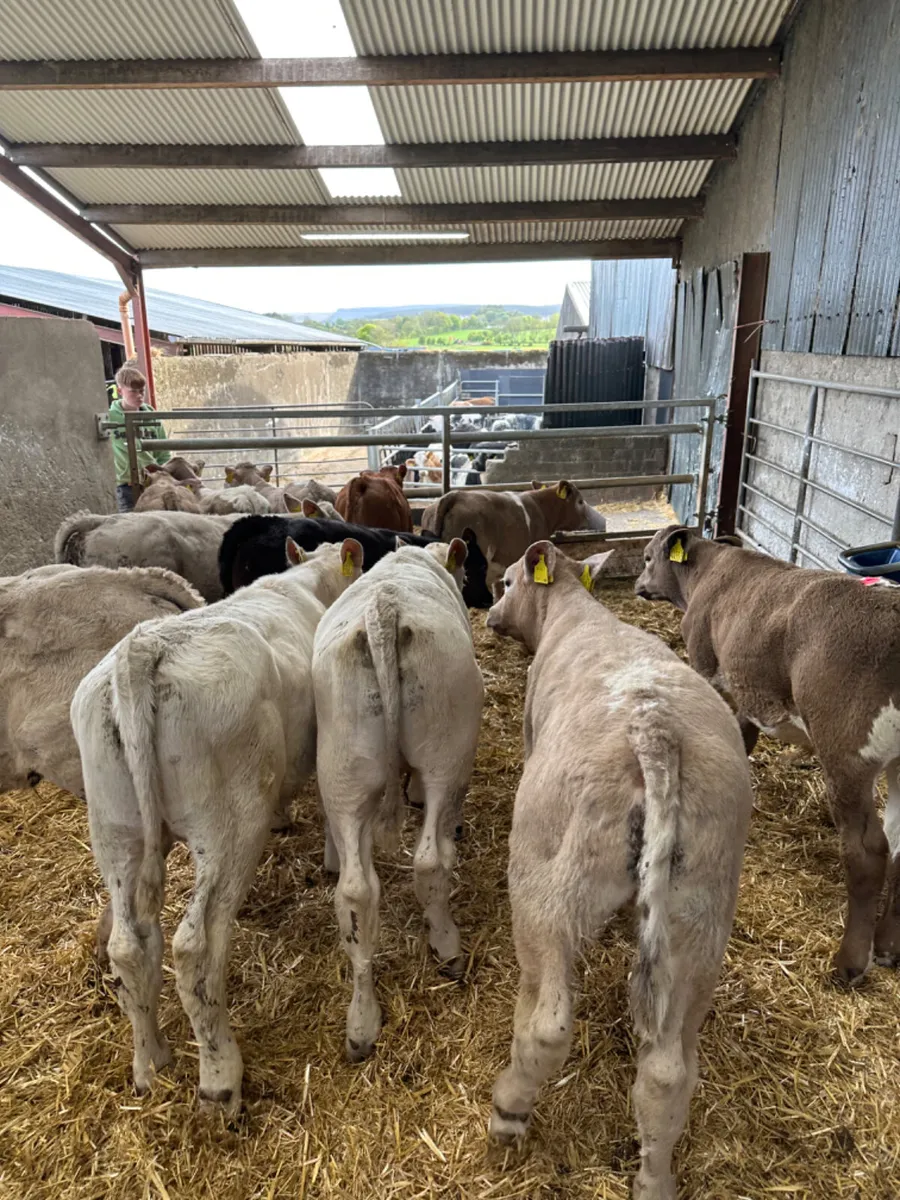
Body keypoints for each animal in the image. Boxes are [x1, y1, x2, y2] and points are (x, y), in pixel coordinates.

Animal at [71, 537, 364, 1116]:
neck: (305, 583)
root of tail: (142, 650)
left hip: (115, 832)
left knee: (129, 946)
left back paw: (151, 1063)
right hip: (228, 827)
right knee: (197, 946)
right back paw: (219, 1078)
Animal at [313, 540, 484, 1060]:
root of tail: (384, 609)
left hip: (343, 772)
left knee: (354, 892)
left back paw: (361, 1024)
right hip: (448, 754)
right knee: (430, 859)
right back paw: (447, 946)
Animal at [486, 540, 751, 1200]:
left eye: (507, 582)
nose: (492, 616)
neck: (573, 612)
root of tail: (654, 731)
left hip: (549, 883)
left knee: (549, 1023)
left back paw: (508, 1110)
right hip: (700, 915)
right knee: (667, 1071)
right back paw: (654, 1178)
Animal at [636, 525, 900, 984]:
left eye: (649, 557)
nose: (638, 585)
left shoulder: (705, 662)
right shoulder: (746, 692)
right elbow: (742, 738)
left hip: (847, 754)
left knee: (868, 851)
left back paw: (850, 962)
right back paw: (887, 946)